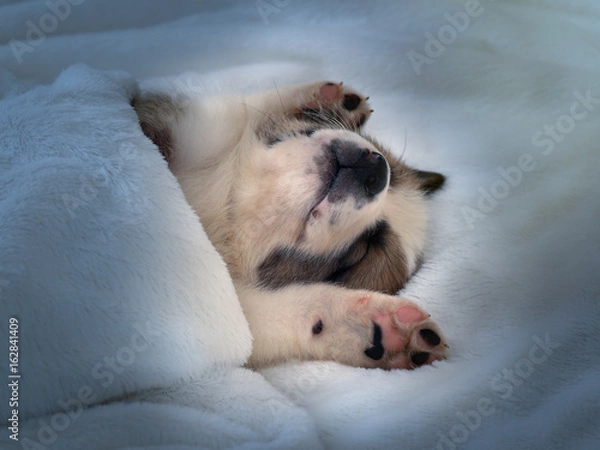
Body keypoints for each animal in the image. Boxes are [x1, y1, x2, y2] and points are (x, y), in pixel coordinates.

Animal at [134, 80, 448, 370]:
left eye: (366, 249)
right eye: (393, 175)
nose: (375, 171)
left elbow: (248, 327)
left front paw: (372, 328)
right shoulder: (186, 130)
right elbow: (230, 114)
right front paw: (319, 98)